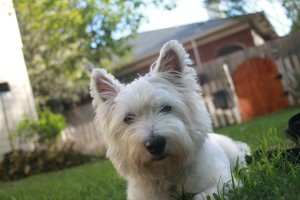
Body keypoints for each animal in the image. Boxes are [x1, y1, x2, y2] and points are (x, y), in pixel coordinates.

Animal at [90, 39, 250, 199]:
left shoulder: (225, 181)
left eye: (166, 108)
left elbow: (201, 195)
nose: (155, 144)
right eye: (128, 118)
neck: (168, 174)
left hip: (233, 154)